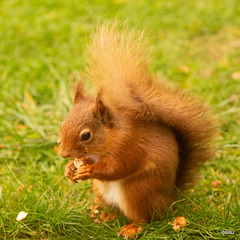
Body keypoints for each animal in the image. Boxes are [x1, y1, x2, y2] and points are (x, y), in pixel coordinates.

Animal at [56, 22, 218, 238]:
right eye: (63, 123)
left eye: (86, 135)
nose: (64, 153)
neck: (109, 138)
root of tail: (169, 201)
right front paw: (69, 169)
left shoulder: (129, 145)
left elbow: (117, 168)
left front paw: (88, 170)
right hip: (100, 191)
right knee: (115, 210)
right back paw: (105, 215)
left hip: (138, 191)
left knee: (146, 219)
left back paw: (132, 228)